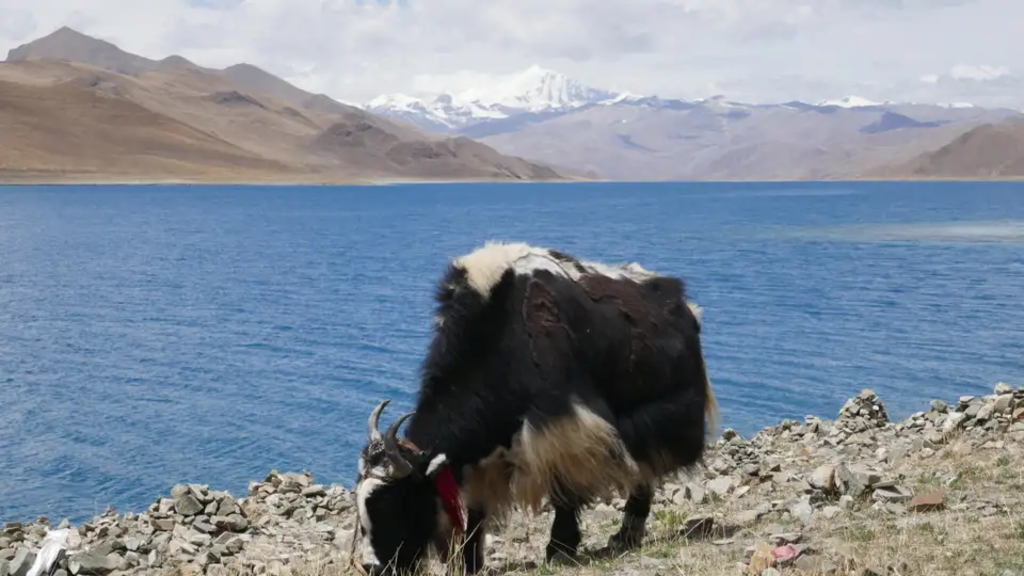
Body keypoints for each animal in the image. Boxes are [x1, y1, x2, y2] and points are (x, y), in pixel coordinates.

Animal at [352, 241, 719, 576]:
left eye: (394, 504)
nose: (373, 567)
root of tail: (686, 306)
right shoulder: (485, 453)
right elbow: (477, 511)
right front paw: (471, 562)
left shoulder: (564, 425)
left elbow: (564, 489)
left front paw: (559, 548)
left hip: (669, 412)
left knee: (646, 468)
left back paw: (627, 533)